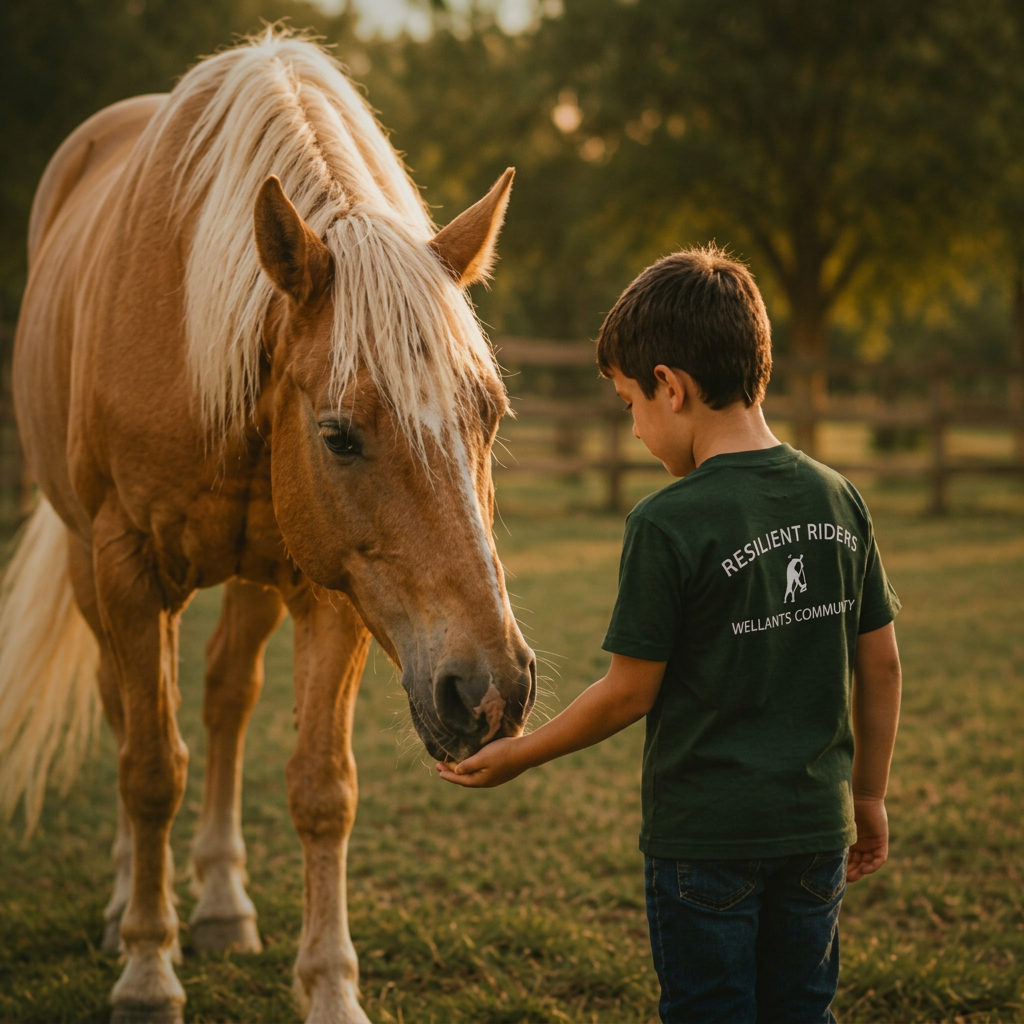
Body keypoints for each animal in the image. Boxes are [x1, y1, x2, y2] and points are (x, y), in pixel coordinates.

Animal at [0, 29, 536, 1024]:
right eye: (340, 434)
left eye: (488, 414)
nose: (490, 691)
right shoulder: (129, 568)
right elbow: (149, 768)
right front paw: (147, 970)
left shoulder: (337, 590)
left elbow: (323, 787)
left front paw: (329, 988)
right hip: (94, 568)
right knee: (127, 713)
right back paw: (130, 904)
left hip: (257, 578)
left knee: (225, 699)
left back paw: (219, 903)